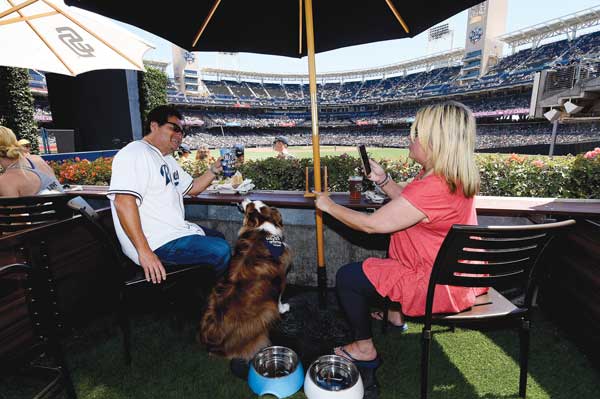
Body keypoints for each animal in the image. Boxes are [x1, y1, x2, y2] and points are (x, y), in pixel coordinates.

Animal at [200, 200, 292, 362]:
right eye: (250, 206)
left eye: (254, 203)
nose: (243, 199)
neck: (262, 225)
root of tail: (213, 344)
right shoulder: (280, 277)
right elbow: (279, 297)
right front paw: (283, 308)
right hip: (266, 312)